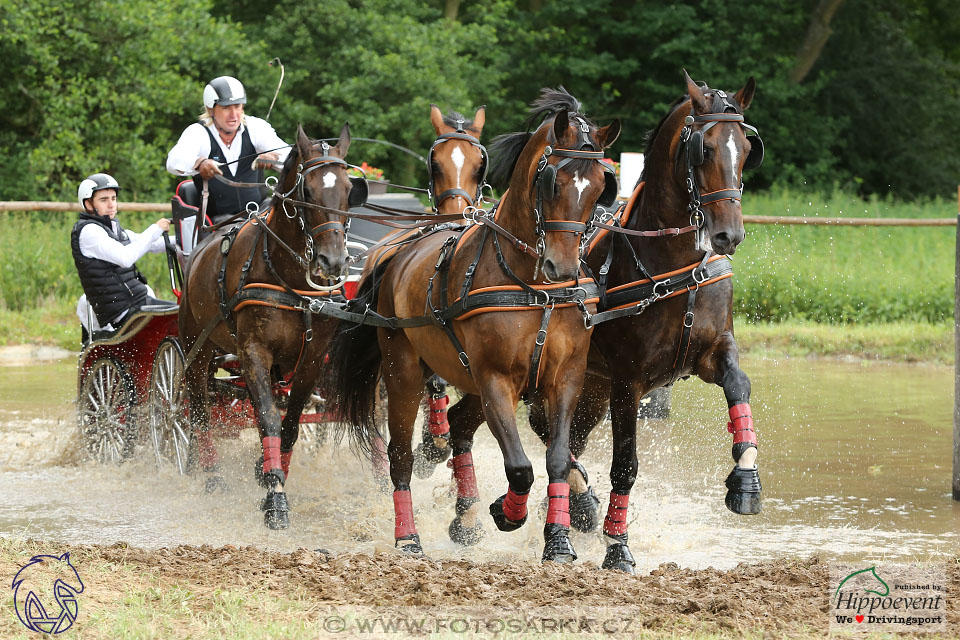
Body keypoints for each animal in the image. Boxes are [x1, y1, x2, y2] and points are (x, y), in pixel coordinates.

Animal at [179, 124, 368, 528]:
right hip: (195, 347)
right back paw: (212, 476)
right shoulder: (254, 351)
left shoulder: (311, 358)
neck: (289, 278)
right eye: (307, 191)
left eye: (349, 189)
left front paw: (268, 471)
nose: (332, 262)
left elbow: (291, 424)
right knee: (199, 410)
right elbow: (268, 418)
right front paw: (275, 496)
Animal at [324, 90, 624, 560]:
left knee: (459, 425)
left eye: (599, 186)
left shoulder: (566, 378)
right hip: (402, 370)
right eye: (552, 182)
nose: (561, 267)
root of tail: (394, 256)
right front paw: (508, 511)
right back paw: (408, 537)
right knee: (400, 454)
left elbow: (557, 458)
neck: (534, 286)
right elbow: (519, 467)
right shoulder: (495, 379)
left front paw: (558, 539)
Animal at [524, 69, 764, 568]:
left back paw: (576, 504)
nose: (728, 235)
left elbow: (739, 386)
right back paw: (581, 505)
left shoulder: (714, 352)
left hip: (592, 392)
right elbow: (625, 466)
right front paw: (618, 547)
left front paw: (746, 479)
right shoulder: (628, 382)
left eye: (746, 148)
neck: (675, 263)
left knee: (570, 441)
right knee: (550, 434)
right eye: (704, 149)